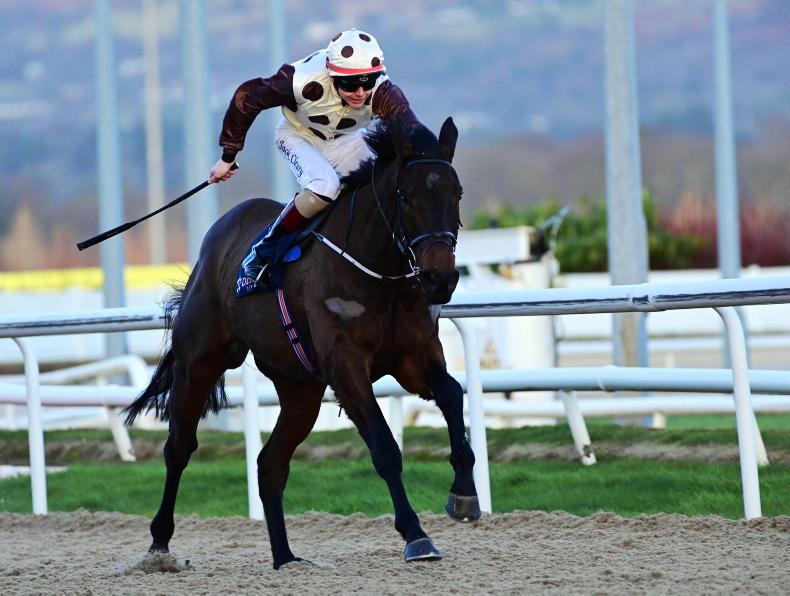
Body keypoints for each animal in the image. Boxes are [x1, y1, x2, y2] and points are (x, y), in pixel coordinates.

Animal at [123, 116, 480, 569]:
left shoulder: (413, 356)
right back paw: (159, 543)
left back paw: (285, 557)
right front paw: (416, 534)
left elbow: (451, 394)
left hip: (300, 390)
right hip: (199, 363)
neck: (379, 271)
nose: (441, 278)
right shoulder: (345, 365)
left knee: (270, 463)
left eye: (456, 193)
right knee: (180, 448)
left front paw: (464, 494)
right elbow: (384, 446)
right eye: (407, 196)